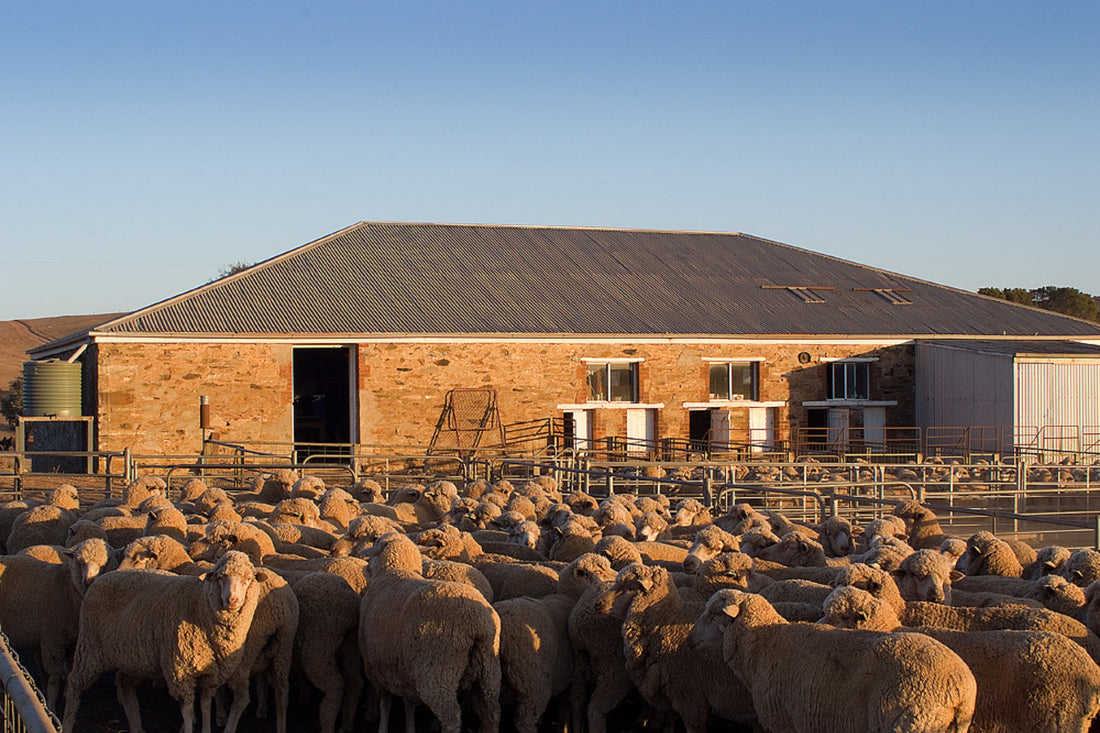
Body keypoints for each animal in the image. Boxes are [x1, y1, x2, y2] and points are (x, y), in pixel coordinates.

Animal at [0, 538, 113, 708]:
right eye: (80, 562)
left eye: (104, 563)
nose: (88, 580)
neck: (68, 590)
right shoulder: (52, 640)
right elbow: (55, 677)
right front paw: (50, 704)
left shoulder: (73, 641)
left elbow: (70, 666)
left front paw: (65, 693)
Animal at [61, 550, 265, 733]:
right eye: (221, 578)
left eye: (248, 579)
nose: (232, 600)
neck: (200, 605)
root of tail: (102, 578)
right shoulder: (180, 669)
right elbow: (188, 710)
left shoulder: (211, 674)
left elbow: (206, 706)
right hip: (89, 649)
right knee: (74, 683)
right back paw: (67, 724)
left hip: (133, 659)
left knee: (124, 685)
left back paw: (136, 726)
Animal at [358, 533, 501, 733]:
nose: (365, 567)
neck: (395, 571)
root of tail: (477, 622)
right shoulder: (403, 670)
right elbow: (408, 704)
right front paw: (410, 726)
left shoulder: (376, 665)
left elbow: (385, 702)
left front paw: (382, 727)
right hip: (489, 671)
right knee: (493, 713)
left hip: (437, 672)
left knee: (451, 718)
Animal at [692, 589, 977, 733]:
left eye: (714, 614)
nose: (689, 638)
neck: (763, 641)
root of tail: (958, 689)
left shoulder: (783, 721)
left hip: (910, 722)